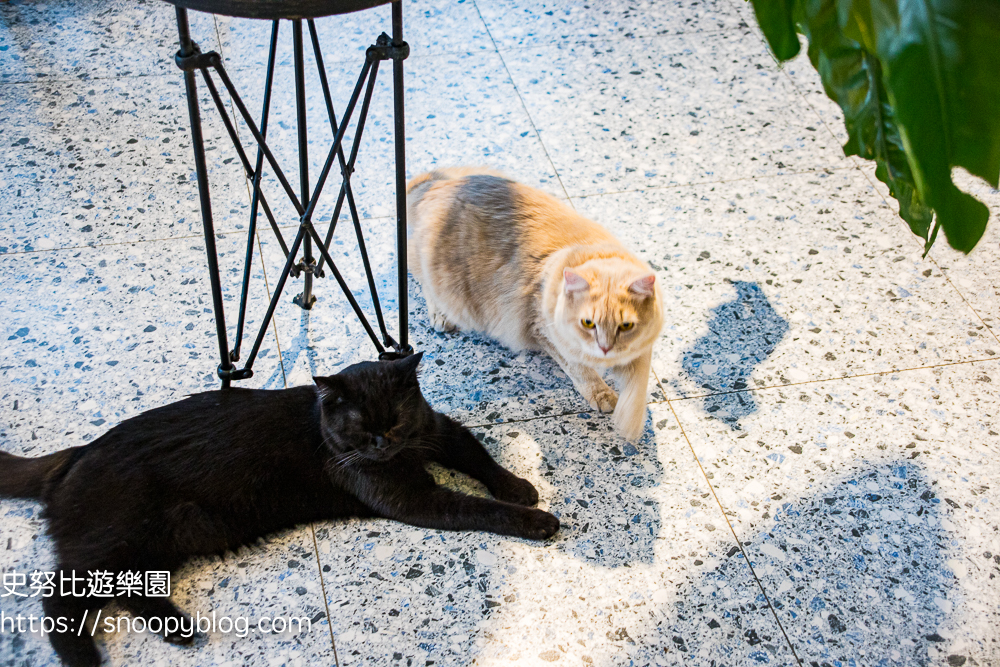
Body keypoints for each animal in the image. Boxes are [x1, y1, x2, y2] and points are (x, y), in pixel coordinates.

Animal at [0, 352, 560, 664]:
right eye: (362, 427)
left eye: (396, 418)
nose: (383, 444)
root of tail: (76, 454)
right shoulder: (414, 497)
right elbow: (476, 508)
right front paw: (536, 519)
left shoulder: (440, 431)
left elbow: (481, 457)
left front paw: (519, 487)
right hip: (116, 539)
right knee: (57, 598)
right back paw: (87, 657)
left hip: (161, 541)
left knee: (129, 590)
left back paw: (177, 630)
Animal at [406, 167, 664, 440]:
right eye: (587, 323)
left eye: (625, 326)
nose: (605, 347)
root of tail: (436, 186)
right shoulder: (542, 331)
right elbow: (580, 370)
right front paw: (605, 397)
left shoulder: (641, 348)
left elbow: (638, 383)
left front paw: (631, 418)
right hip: (441, 281)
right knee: (424, 283)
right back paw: (441, 316)